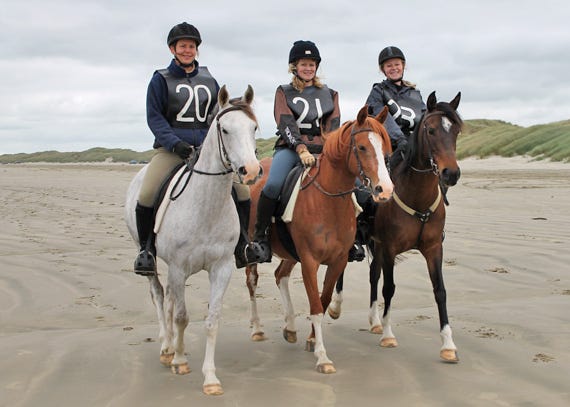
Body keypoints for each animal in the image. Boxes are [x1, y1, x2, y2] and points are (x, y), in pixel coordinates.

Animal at [124, 85, 260, 396]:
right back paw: (166, 347)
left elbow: (211, 320)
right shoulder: (178, 268)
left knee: (170, 298)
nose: (250, 170)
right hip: (150, 258)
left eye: (254, 128)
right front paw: (180, 360)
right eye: (224, 129)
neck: (206, 207)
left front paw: (210, 377)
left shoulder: (221, 268)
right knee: (159, 295)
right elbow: (182, 317)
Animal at [242, 106, 392, 376]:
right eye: (362, 147)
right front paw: (323, 357)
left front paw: (312, 340)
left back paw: (290, 327)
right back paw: (257, 328)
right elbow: (316, 307)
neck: (327, 202)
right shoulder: (310, 262)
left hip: (290, 254)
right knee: (252, 281)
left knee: (280, 275)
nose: (384, 189)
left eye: (385, 146)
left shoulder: (338, 261)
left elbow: (323, 300)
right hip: (256, 251)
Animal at [328, 91, 462, 364]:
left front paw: (448, 344)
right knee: (344, 268)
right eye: (431, 130)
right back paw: (336, 307)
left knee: (372, 275)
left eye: (455, 130)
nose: (451, 173)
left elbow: (440, 290)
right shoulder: (390, 248)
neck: (417, 196)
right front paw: (388, 335)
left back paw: (374, 321)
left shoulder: (433, 248)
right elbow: (389, 288)